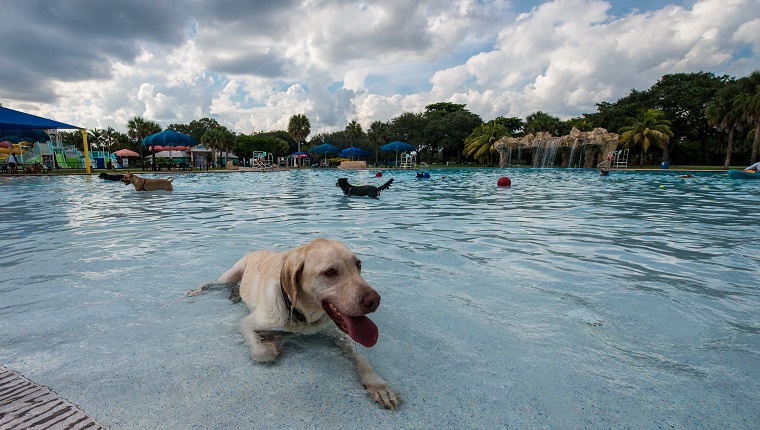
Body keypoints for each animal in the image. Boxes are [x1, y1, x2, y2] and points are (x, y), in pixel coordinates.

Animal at [188, 239, 400, 410]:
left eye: (358, 265)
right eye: (330, 272)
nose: (375, 301)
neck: (302, 315)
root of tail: (256, 250)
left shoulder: (339, 334)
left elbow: (361, 358)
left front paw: (378, 386)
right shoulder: (245, 324)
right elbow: (261, 353)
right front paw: (271, 345)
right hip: (231, 273)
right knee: (214, 282)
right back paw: (201, 290)